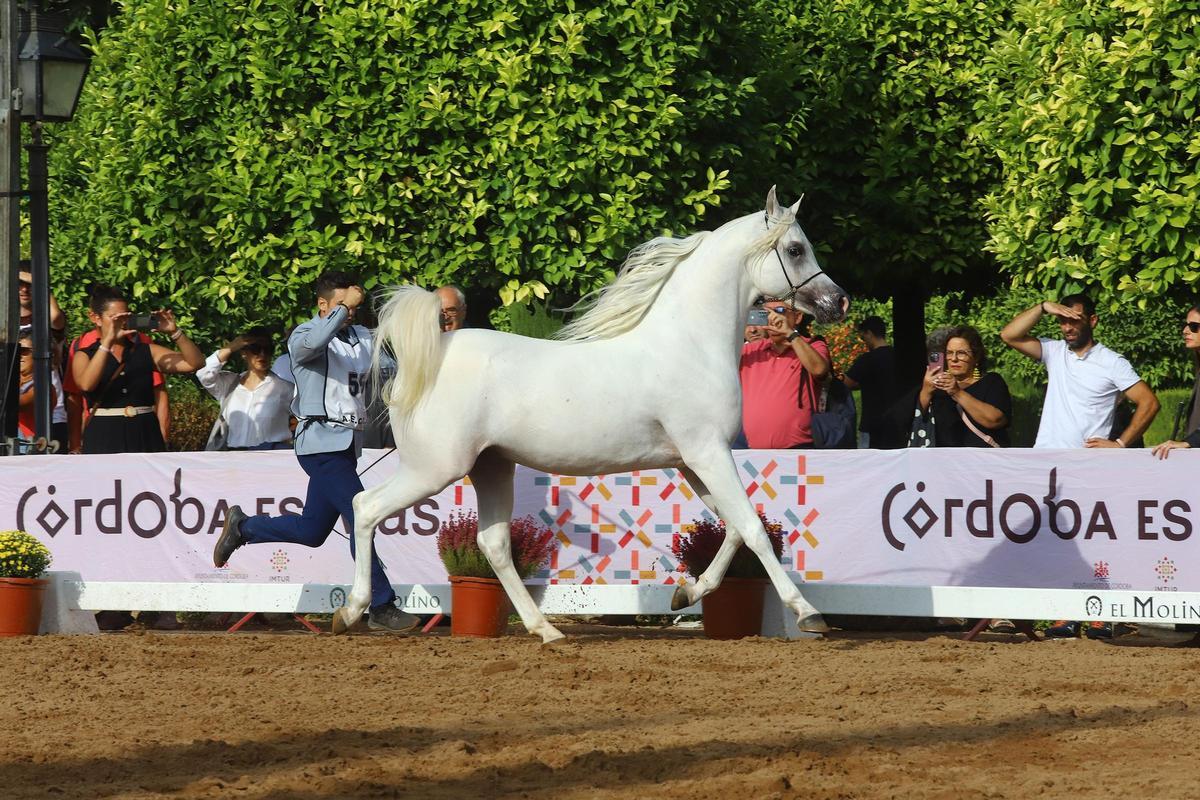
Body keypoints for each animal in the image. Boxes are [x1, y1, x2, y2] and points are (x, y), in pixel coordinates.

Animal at [333, 187, 849, 643]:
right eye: (795, 248)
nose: (839, 301)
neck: (688, 345)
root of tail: (424, 361)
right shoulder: (707, 452)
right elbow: (755, 530)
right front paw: (810, 615)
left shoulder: (694, 460)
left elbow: (736, 529)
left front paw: (686, 594)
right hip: (435, 468)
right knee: (364, 507)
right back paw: (350, 611)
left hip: (491, 466)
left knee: (494, 545)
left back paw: (547, 631)